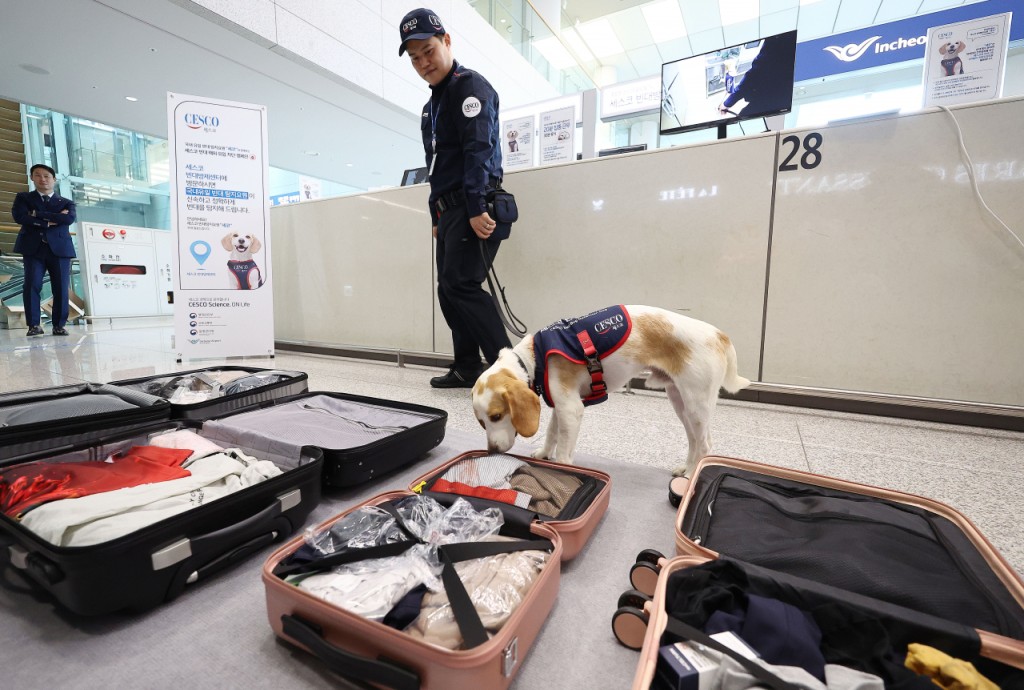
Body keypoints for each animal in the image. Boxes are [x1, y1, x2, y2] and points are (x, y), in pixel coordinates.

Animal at [473, 303, 753, 475]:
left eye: (497, 416)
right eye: (481, 423)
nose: (492, 452)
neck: (534, 357)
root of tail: (718, 334)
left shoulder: (571, 410)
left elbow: (563, 451)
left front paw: (562, 468)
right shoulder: (561, 407)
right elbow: (552, 434)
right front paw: (543, 453)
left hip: (696, 405)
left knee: (705, 445)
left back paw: (691, 476)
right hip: (681, 403)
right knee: (694, 441)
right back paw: (686, 469)